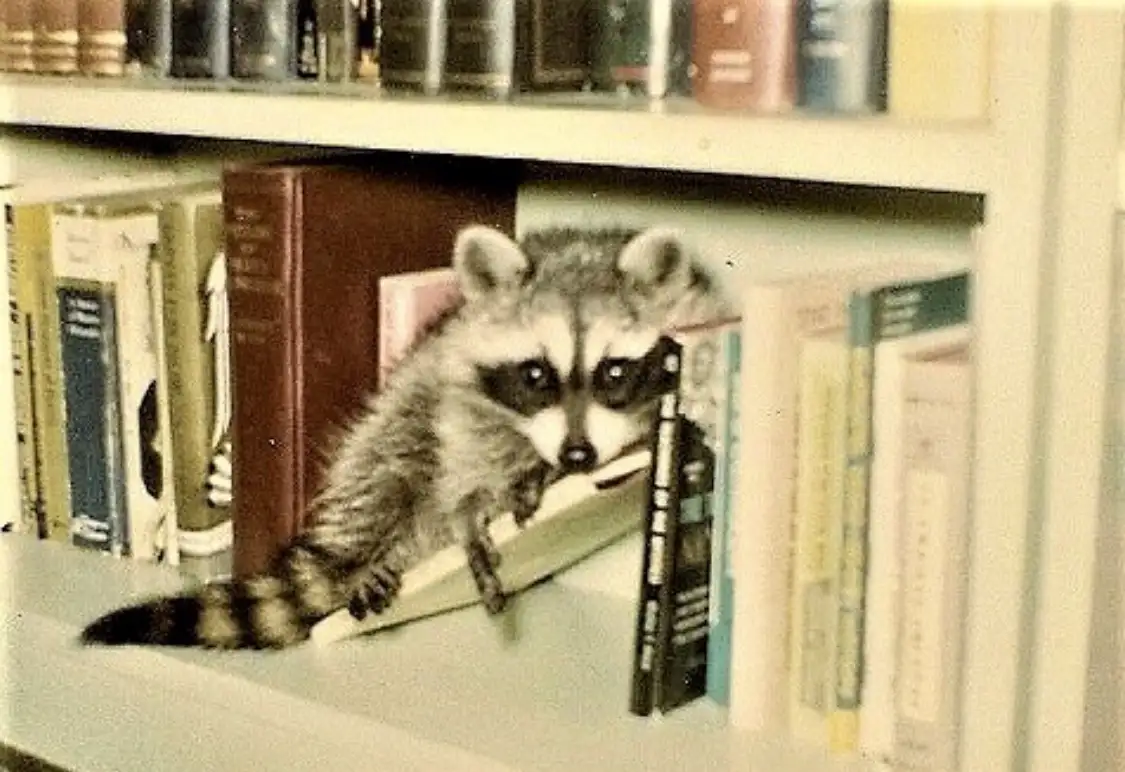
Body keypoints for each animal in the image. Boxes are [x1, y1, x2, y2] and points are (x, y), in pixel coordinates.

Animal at [79, 223, 730, 649]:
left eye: (614, 373)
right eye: (535, 376)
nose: (576, 454)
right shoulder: (458, 368)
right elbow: (461, 441)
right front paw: (481, 499)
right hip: (415, 383)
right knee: (388, 447)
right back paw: (375, 555)